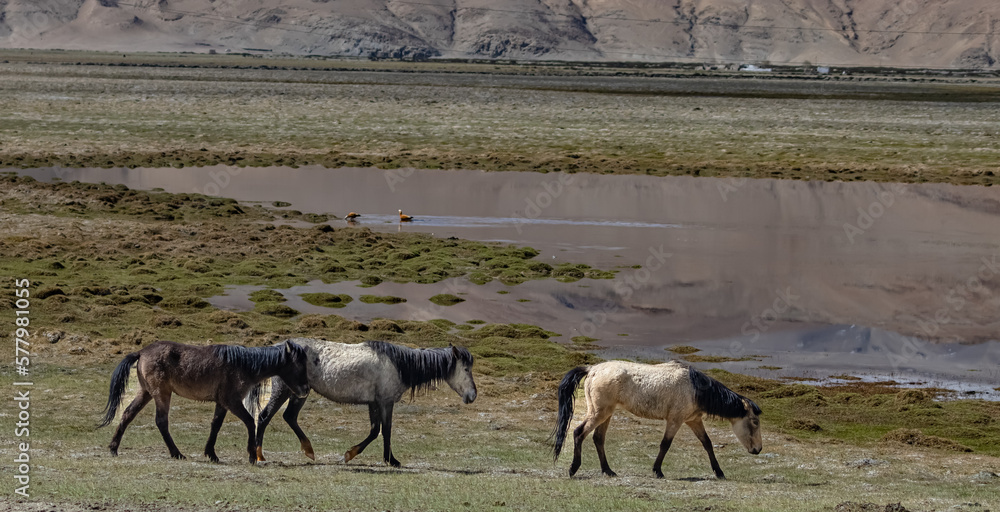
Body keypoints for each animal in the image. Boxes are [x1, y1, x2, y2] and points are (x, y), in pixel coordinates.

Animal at [99, 339, 310, 464]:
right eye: (299, 365)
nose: (305, 390)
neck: (243, 364)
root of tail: (142, 352)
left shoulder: (222, 403)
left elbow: (215, 425)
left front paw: (211, 454)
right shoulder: (232, 401)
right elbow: (250, 422)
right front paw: (251, 456)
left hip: (145, 393)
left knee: (128, 414)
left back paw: (113, 448)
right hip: (161, 394)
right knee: (161, 421)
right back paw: (177, 453)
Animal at [251, 338, 477, 467]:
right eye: (466, 369)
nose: (472, 395)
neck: (398, 364)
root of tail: (279, 348)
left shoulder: (373, 403)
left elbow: (375, 431)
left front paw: (350, 455)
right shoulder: (386, 402)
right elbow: (386, 431)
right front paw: (390, 461)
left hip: (299, 393)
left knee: (289, 417)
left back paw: (309, 450)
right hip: (284, 390)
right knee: (264, 417)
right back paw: (260, 456)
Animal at [552, 360, 762, 479]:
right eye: (755, 421)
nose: (758, 449)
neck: (695, 388)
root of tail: (592, 369)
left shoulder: (693, 420)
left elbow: (707, 443)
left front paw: (719, 472)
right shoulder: (675, 420)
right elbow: (665, 444)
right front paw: (657, 471)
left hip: (606, 414)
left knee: (598, 439)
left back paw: (608, 471)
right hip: (598, 413)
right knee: (579, 433)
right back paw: (573, 469)